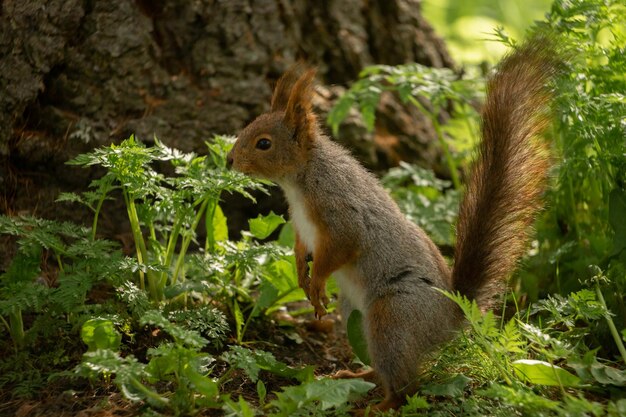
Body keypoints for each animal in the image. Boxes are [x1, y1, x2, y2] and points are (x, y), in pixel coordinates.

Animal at [225, 35, 556, 410]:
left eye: (264, 143)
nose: (230, 160)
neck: (300, 179)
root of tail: (451, 319)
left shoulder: (342, 214)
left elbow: (340, 249)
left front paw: (318, 282)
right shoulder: (303, 229)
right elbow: (300, 249)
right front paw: (301, 276)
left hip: (392, 317)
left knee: (407, 387)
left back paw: (380, 407)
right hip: (355, 314)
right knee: (385, 369)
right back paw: (357, 377)